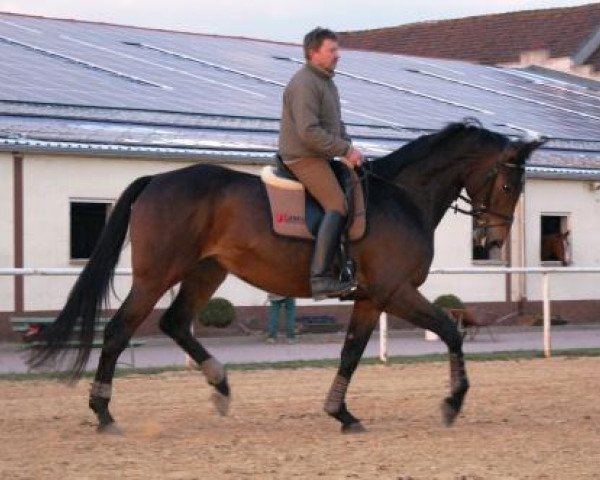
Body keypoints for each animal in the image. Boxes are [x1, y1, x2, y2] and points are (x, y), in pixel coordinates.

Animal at [29, 119, 544, 432]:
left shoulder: (370, 299)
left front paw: (341, 413)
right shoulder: (395, 292)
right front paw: (453, 403)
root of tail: (157, 179)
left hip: (207, 272)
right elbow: (450, 333)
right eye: (508, 182)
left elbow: (351, 353)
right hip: (156, 276)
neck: (402, 196)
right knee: (119, 331)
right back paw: (103, 412)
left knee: (174, 322)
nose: (492, 241)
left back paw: (220, 385)